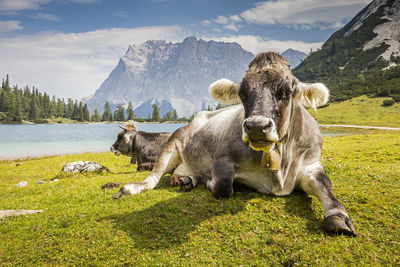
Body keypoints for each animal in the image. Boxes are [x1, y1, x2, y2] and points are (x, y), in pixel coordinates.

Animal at [114, 52, 358, 237]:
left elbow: (325, 184)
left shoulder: (311, 164)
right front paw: (209, 182)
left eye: (287, 91)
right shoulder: (222, 159)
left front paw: (338, 216)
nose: (257, 126)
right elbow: (223, 187)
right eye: (242, 93)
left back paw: (186, 180)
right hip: (173, 143)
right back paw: (132, 188)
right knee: (153, 178)